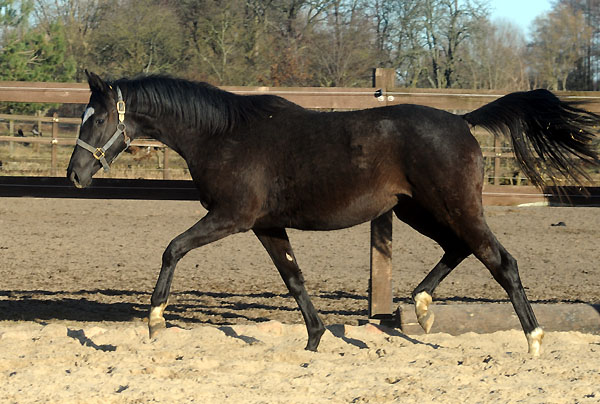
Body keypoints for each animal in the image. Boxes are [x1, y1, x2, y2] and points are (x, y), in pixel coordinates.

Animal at [68, 71, 596, 356]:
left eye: (98, 117)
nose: (75, 174)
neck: (224, 135)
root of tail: (463, 122)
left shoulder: (233, 217)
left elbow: (172, 248)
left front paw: (155, 321)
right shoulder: (267, 224)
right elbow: (293, 278)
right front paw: (315, 340)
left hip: (454, 207)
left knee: (501, 262)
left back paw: (534, 341)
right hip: (417, 211)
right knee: (459, 248)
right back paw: (422, 308)